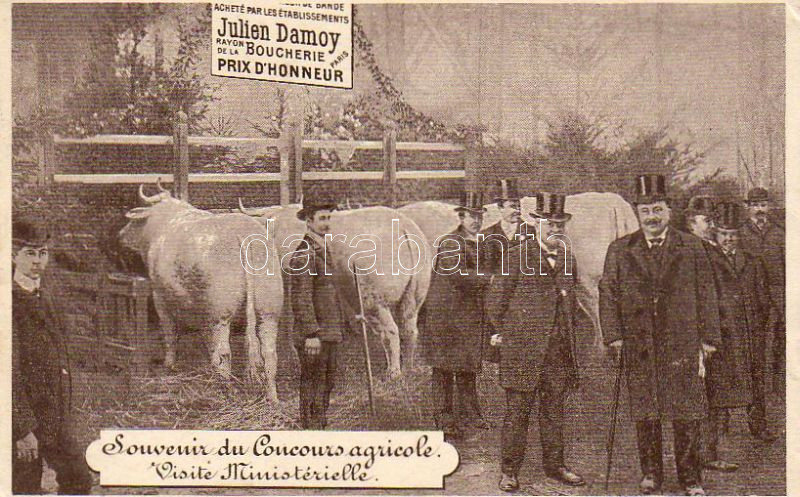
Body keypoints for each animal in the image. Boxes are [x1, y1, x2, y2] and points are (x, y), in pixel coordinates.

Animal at [120, 184, 283, 401]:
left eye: (133, 221)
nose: (119, 236)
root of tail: (242, 235)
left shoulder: (160, 298)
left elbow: (170, 333)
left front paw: (169, 365)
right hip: (268, 309)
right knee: (269, 353)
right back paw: (272, 398)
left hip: (221, 312)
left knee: (224, 352)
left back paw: (224, 390)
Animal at [238, 201, 431, 377]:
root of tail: (404, 227)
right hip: (415, 293)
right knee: (410, 329)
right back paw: (408, 368)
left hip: (373, 300)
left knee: (390, 331)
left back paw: (394, 372)